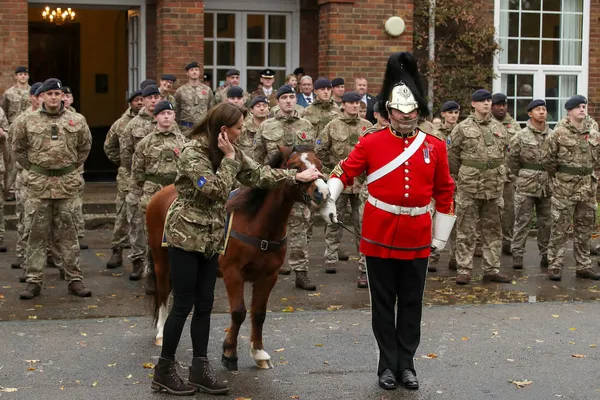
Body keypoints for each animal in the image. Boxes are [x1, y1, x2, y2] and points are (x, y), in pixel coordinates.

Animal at [148, 147, 330, 372]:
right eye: (296, 166)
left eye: (319, 166)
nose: (323, 192)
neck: (257, 225)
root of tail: (160, 195)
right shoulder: (233, 273)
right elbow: (238, 312)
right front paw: (229, 353)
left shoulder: (268, 276)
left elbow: (259, 313)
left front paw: (258, 352)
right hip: (161, 261)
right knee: (163, 292)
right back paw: (161, 332)